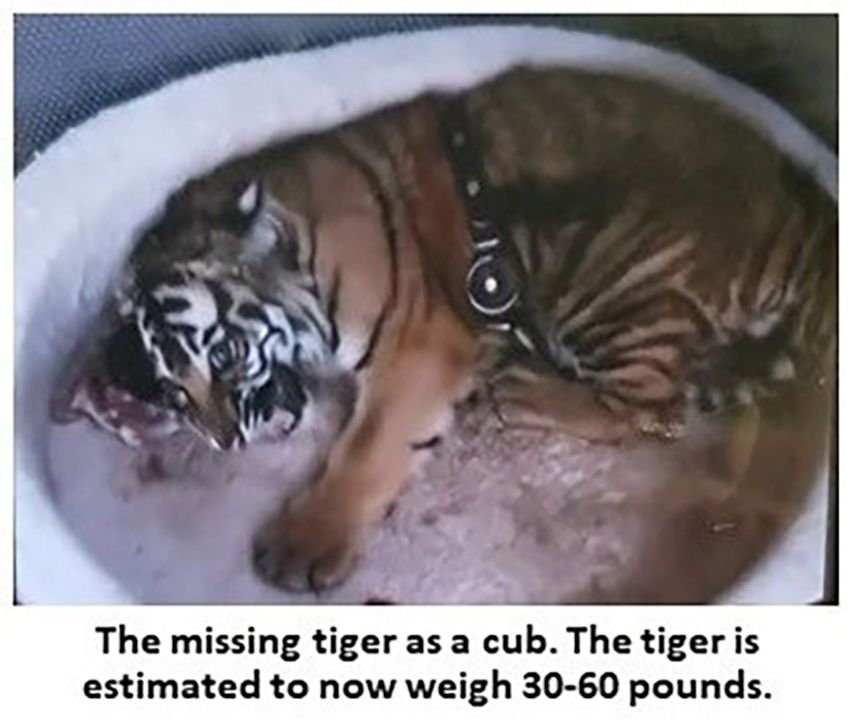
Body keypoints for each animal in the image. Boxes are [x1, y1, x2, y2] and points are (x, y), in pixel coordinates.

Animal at [103, 66, 836, 592]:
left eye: (226, 350)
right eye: (175, 392)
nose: (226, 438)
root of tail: (807, 219)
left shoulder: (419, 345)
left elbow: (367, 448)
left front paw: (303, 543)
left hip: (608, 265)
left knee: (652, 409)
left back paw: (518, 386)